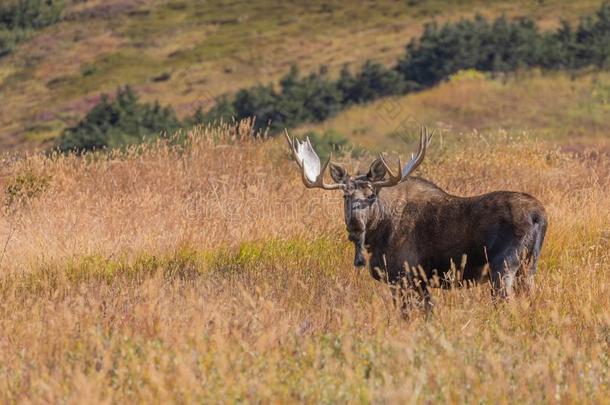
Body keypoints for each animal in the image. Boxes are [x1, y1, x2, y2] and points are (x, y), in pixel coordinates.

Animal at [284, 126, 548, 310]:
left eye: (371, 195)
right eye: (344, 195)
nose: (355, 225)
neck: (377, 235)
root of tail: (539, 215)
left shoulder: (404, 276)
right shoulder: (420, 282)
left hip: (503, 266)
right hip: (529, 267)